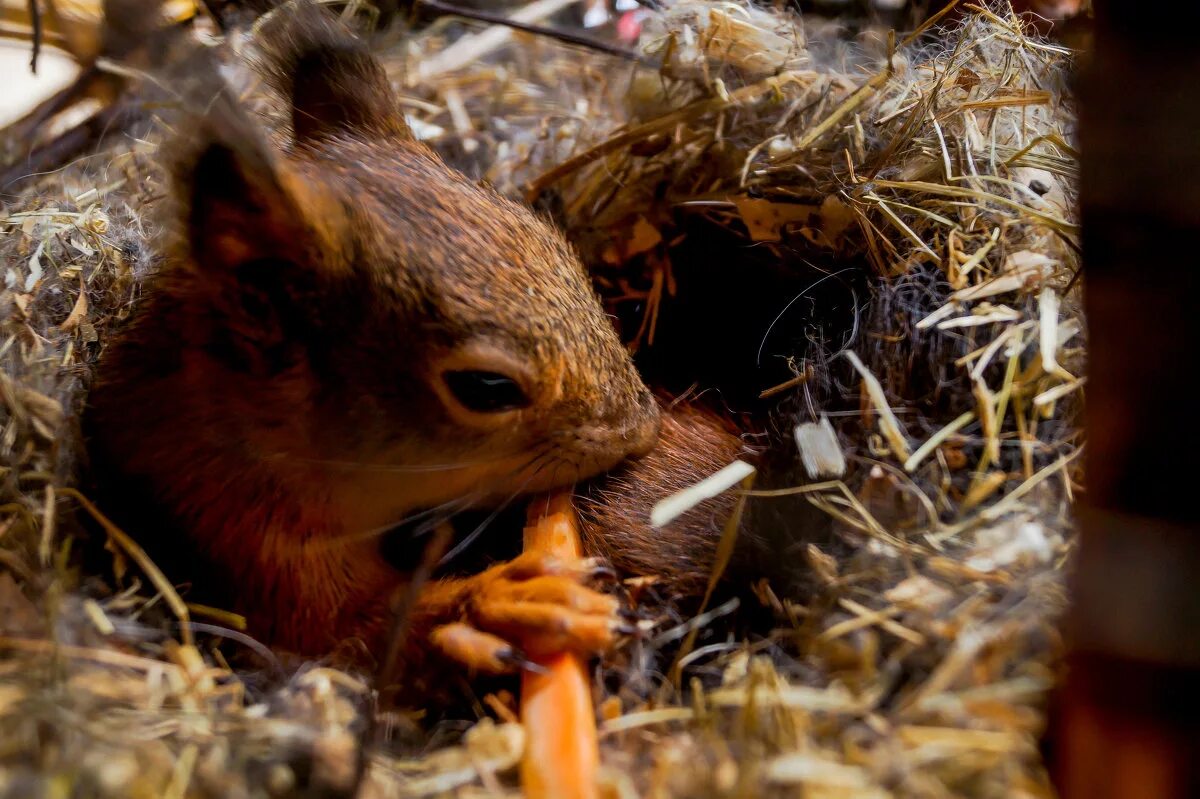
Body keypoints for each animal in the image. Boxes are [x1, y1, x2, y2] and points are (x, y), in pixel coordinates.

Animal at [84, 1, 753, 686]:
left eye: (558, 245)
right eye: (486, 387)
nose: (643, 430)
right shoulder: (248, 545)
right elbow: (352, 639)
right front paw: (511, 604)